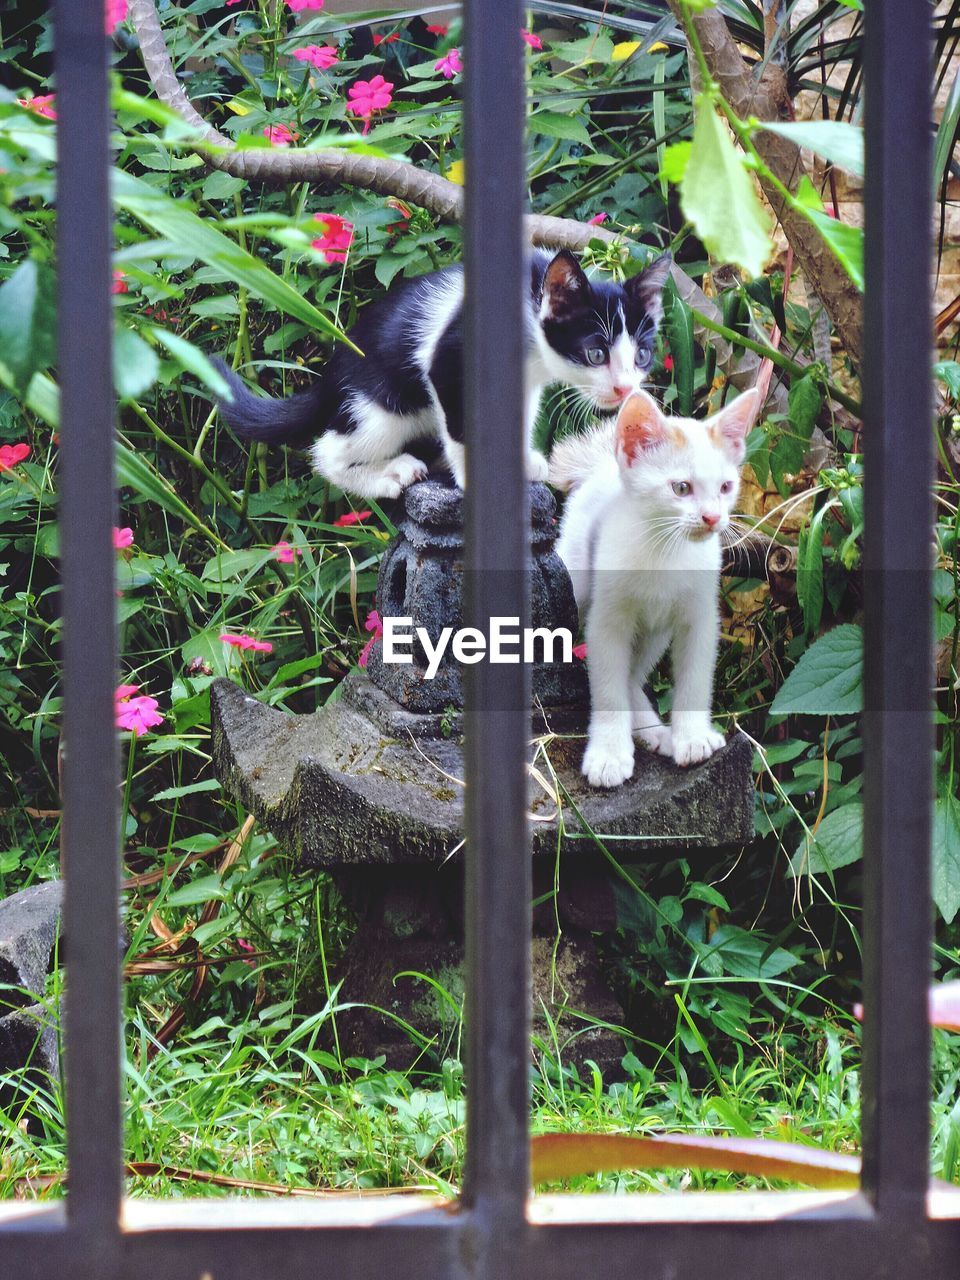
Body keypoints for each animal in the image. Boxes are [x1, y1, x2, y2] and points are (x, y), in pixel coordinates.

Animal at [218, 247, 670, 496]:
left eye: (642, 356)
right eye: (595, 353)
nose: (625, 389)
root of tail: (330, 374)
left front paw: (522, 463)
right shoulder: (449, 360)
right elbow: (461, 424)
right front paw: (474, 478)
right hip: (384, 409)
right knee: (329, 452)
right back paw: (388, 475)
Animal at [552, 386, 762, 788]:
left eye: (726, 487)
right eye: (681, 488)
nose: (713, 517)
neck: (665, 551)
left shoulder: (700, 617)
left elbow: (696, 678)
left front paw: (692, 737)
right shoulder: (606, 623)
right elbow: (608, 687)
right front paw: (608, 755)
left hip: (655, 630)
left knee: (633, 674)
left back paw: (656, 732)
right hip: (578, 579)